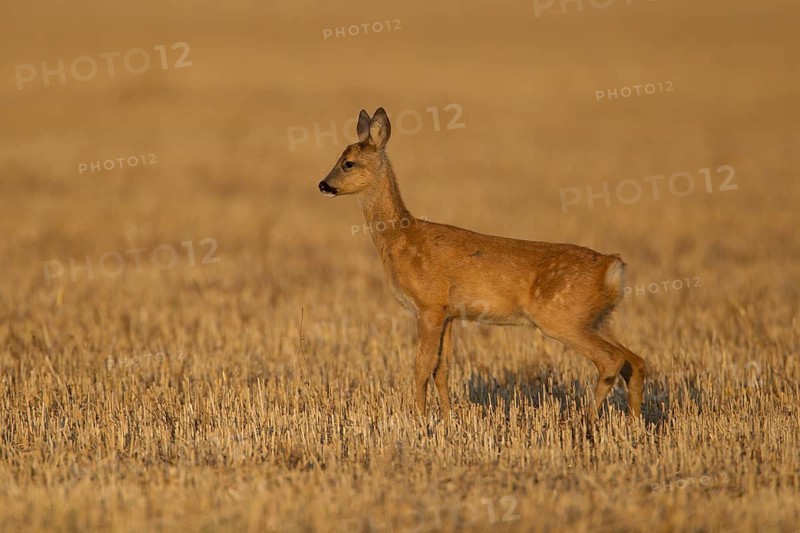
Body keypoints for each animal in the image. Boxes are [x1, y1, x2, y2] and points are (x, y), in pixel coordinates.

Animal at [317, 108, 646, 422]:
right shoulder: (449, 314)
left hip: (561, 317)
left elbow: (421, 366)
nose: (323, 184)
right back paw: (632, 423)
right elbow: (442, 369)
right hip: (596, 319)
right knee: (635, 360)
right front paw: (447, 420)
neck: (400, 238)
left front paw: (417, 420)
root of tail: (613, 268)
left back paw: (588, 421)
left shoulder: (429, 305)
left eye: (348, 163)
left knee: (612, 360)